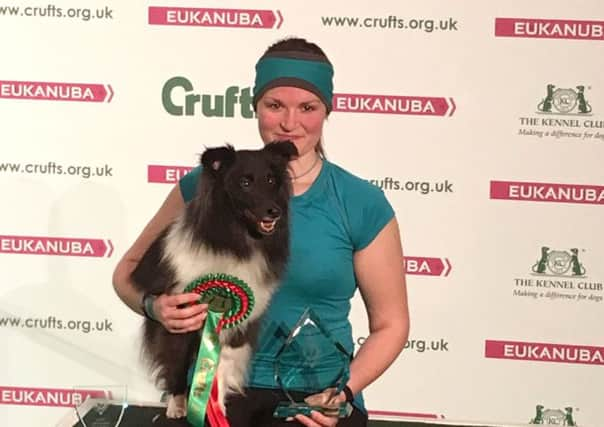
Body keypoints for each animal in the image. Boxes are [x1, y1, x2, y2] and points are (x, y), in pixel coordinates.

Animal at [133, 140, 300, 418]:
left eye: (270, 179)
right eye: (245, 182)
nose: (274, 212)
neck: (236, 242)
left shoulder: (236, 323)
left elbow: (221, 366)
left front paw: (217, 408)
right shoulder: (179, 318)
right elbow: (177, 362)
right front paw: (178, 405)